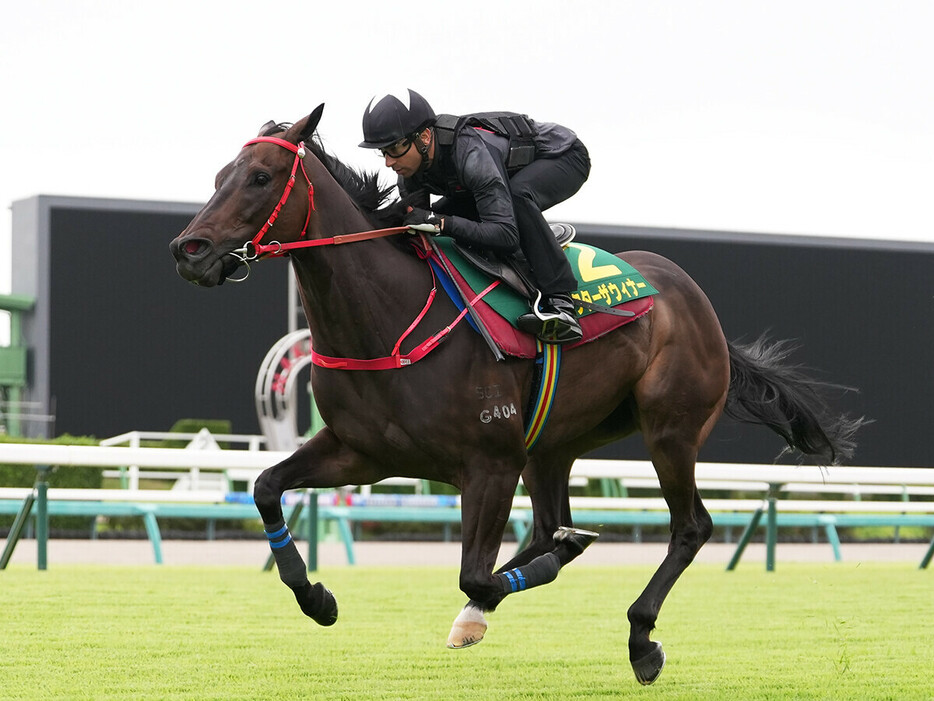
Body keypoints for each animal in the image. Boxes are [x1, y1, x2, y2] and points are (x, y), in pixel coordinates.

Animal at [170, 105, 864, 684]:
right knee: (551, 524)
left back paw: (640, 638)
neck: (388, 316)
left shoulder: (490, 462)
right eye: (219, 175)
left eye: (260, 177)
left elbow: (474, 570)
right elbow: (265, 487)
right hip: (553, 444)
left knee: (689, 527)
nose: (189, 250)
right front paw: (317, 597)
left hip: (669, 429)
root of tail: (697, 302)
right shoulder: (360, 451)